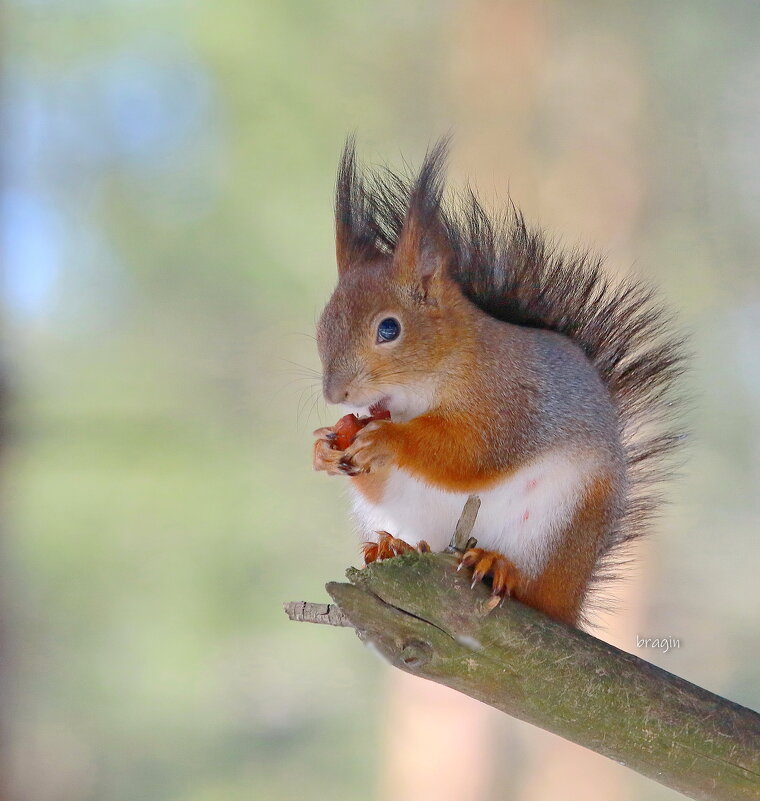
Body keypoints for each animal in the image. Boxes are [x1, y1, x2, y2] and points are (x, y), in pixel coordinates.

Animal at [308, 141, 684, 628]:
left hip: (560, 521)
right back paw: (393, 545)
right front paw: (323, 447)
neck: (436, 376)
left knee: (531, 589)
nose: (336, 395)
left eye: (389, 329)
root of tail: (573, 601)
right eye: (321, 327)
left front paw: (390, 439)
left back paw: (497, 565)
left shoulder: (511, 399)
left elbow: (474, 454)